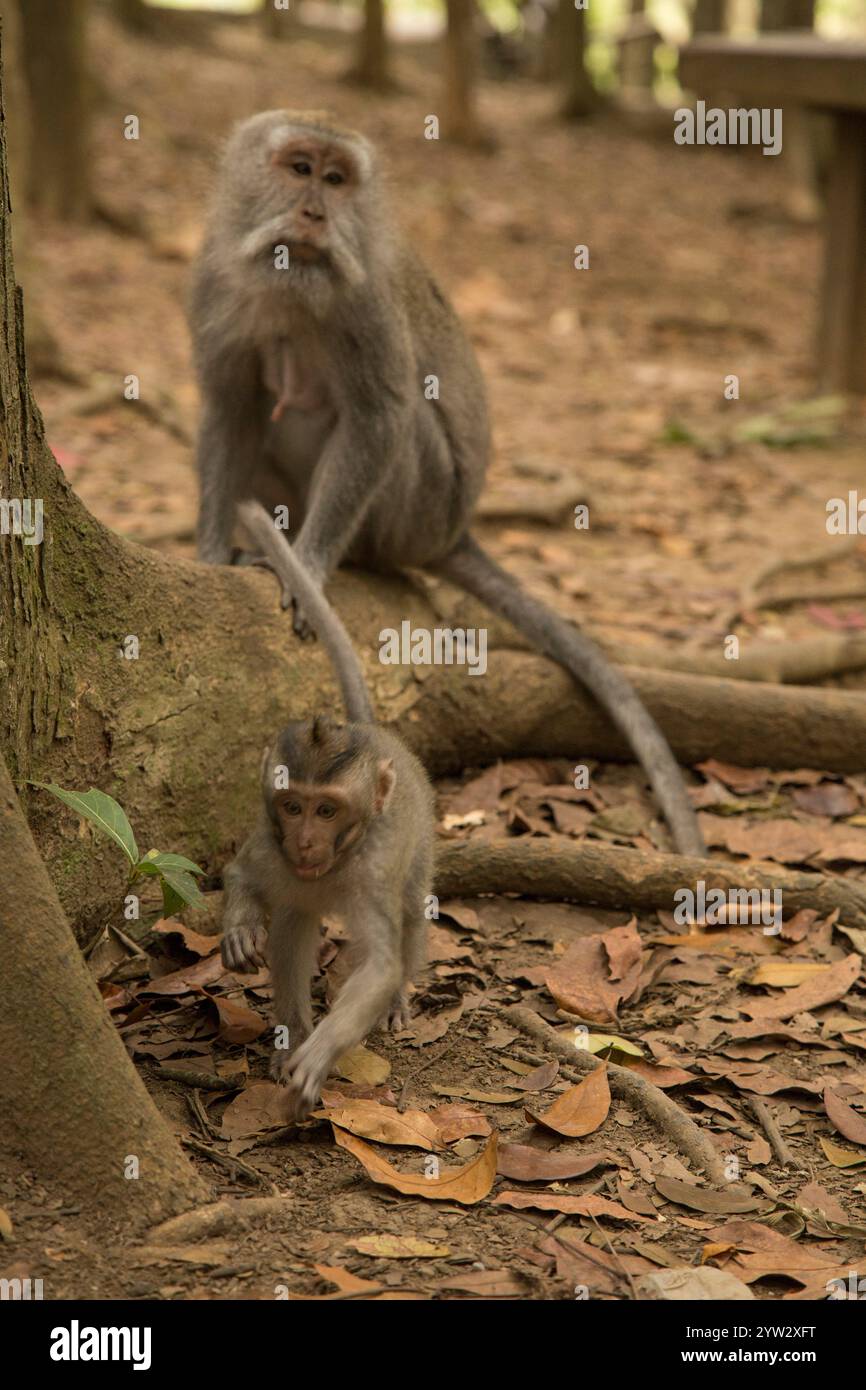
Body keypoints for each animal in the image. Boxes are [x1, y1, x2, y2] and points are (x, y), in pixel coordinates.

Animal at [189, 109, 705, 859]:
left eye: (337, 180)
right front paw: (207, 551)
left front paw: (307, 566)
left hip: (421, 508)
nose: (315, 214)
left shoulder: (367, 301)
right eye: (299, 169)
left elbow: (380, 414)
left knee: (397, 420)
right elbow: (228, 408)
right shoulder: (213, 282)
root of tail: (452, 531)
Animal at [220, 499, 435, 1121]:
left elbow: (381, 964)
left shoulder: (373, 867)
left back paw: (393, 1004)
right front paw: (239, 928)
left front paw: (320, 1053)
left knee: (410, 910)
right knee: (295, 917)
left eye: (328, 812)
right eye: (293, 807)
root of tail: (377, 734)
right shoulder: (271, 846)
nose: (307, 843)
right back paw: (290, 1029)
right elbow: (242, 873)